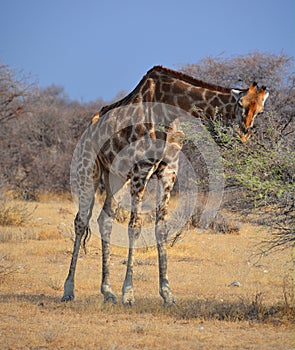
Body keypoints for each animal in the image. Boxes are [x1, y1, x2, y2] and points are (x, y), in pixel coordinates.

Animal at [63, 66, 270, 306]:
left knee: (104, 219)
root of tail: (92, 122)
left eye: (260, 111)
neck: (172, 110)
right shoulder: (141, 170)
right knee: (80, 221)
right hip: (88, 169)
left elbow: (161, 228)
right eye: (240, 104)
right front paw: (129, 292)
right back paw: (69, 290)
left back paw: (108, 291)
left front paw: (167, 293)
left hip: (115, 176)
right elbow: (134, 227)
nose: (244, 133)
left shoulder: (168, 172)